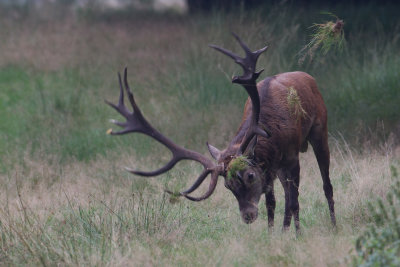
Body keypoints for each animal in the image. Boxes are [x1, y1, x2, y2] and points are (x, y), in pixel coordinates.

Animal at [105, 33, 334, 232]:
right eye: (227, 186)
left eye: (250, 175)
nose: (248, 216)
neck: (271, 135)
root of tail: (307, 76)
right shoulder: (269, 169)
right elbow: (272, 204)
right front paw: (272, 236)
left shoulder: (291, 157)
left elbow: (294, 201)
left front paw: (297, 236)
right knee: (285, 197)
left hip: (320, 131)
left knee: (325, 185)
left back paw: (334, 225)